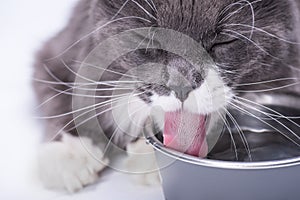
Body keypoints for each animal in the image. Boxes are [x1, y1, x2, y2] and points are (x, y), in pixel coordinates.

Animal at [34, 0, 300, 192]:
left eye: (224, 41)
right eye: (148, 38)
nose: (181, 85)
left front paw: (147, 163)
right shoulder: (54, 55)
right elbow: (59, 98)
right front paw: (65, 156)